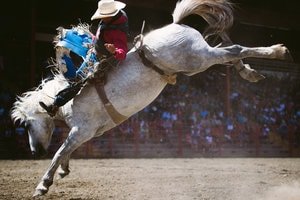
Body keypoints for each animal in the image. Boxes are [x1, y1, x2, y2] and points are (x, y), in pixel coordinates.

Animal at [10, 0, 290, 197]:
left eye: (26, 124)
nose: (34, 151)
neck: (67, 98)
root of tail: (176, 24)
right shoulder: (88, 133)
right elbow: (67, 151)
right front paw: (64, 171)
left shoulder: (82, 129)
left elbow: (59, 152)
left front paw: (43, 184)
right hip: (199, 61)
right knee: (228, 50)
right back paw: (250, 71)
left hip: (199, 59)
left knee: (234, 50)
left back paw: (277, 52)